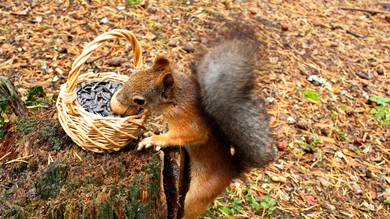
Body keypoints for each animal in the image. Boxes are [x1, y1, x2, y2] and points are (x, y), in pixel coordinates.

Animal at [112, 35, 278, 217]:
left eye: (139, 100)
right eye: (134, 76)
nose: (118, 98)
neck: (176, 100)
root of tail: (231, 171)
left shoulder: (189, 122)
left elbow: (187, 135)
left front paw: (154, 139)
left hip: (202, 191)